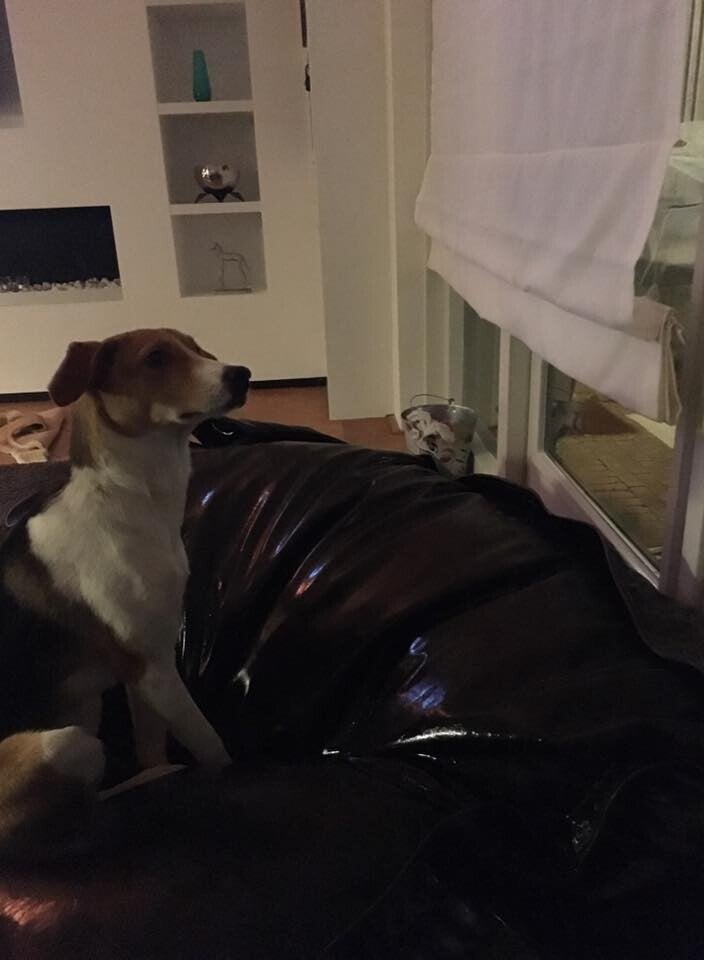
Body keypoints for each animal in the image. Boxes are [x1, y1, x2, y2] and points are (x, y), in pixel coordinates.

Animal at [0, 328, 250, 854]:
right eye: (155, 358)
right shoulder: (155, 672)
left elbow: (151, 749)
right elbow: (213, 747)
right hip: (67, 743)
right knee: (87, 809)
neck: (129, 502)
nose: (242, 374)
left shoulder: (146, 674)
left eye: (198, 346)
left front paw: (161, 768)